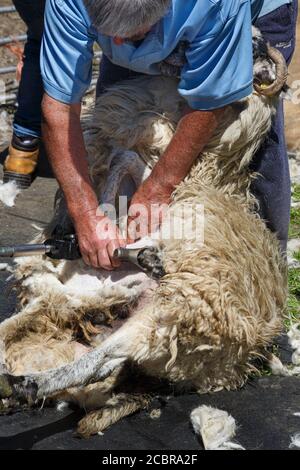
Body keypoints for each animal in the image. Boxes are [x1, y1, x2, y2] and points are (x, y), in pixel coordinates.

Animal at [0, 32, 288, 436]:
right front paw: (105, 222)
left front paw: (117, 231)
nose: (184, 49)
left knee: (102, 358)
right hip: (80, 297)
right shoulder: (155, 176)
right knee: (62, 328)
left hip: (175, 311)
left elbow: (128, 164)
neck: (210, 175)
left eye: (253, 50)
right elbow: (126, 160)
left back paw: (29, 384)